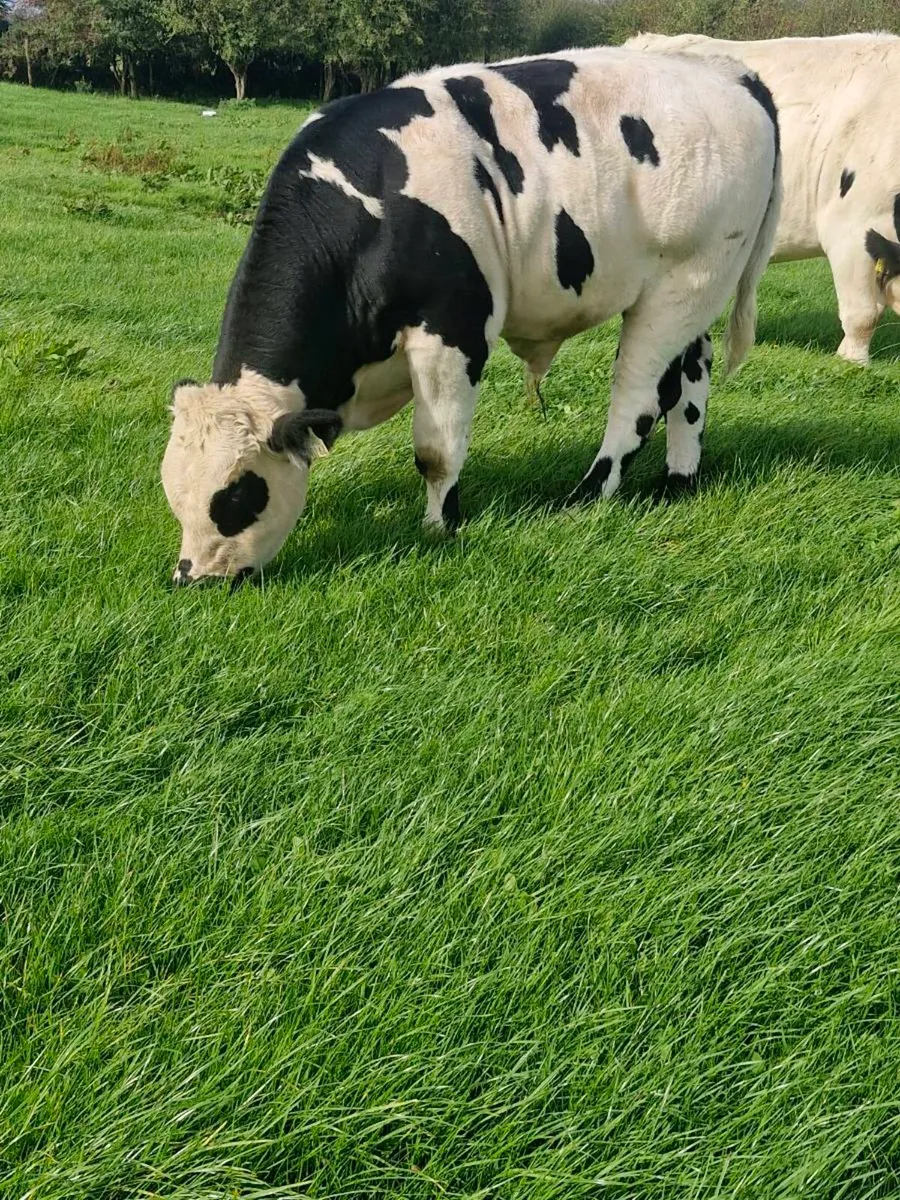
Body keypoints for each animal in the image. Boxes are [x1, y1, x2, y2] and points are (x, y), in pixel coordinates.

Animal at [161, 47, 781, 586]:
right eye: (173, 493)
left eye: (236, 495)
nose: (191, 578)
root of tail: (732, 73)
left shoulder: (453, 330)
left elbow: (436, 452)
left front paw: (441, 528)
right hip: (692, 292)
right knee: (691, 378)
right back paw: (679, 479)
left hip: (683, 281)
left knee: (639, 398)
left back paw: (585, 496)